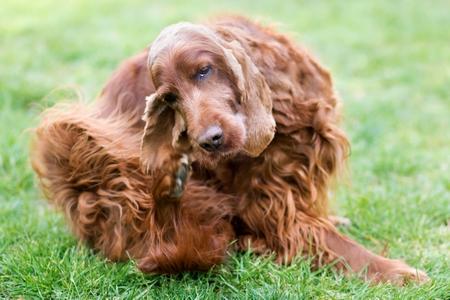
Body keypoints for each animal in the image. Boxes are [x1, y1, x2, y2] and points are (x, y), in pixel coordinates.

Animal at [32, 15, 428, 284]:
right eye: (170, 98)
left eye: (205, 70)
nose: (208, 141)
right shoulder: (264, 203)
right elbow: (329, 242)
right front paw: (395, 272)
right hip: (77, 138)